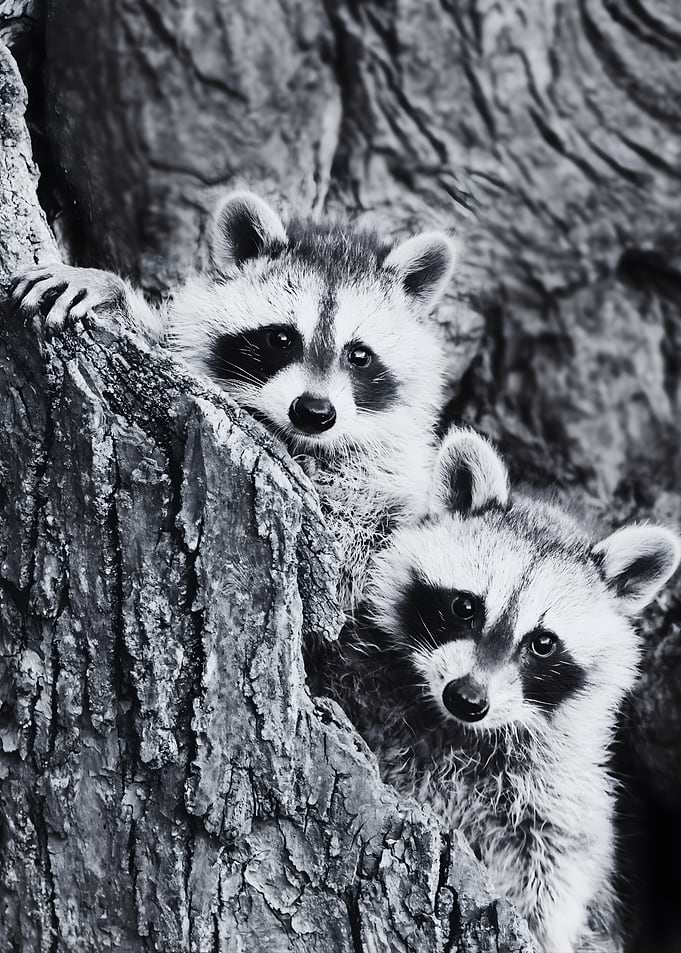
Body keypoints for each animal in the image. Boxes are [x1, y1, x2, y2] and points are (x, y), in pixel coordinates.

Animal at [10, 193, 459, 609]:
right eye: (281, 338)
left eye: (359, 355)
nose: (313, 413)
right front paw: (112, 291)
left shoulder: (389, 480)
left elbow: (355, 539)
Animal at [325, 427, 681, 952]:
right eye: (465, 606)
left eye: (543, 643)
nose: (467, 699)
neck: (455, 732)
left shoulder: (558, 789)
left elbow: (558, 866)